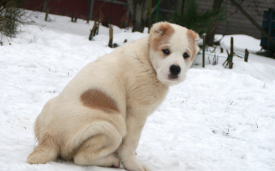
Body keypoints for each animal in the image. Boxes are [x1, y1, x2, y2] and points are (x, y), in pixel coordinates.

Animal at [27, 22, 199, 170]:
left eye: (186, 55)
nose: (175, 69)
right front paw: (134, 165)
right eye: (166, 51)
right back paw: (112, 161)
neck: (147, 60)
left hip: (48, 107)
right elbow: (131, 143)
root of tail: (49, 137)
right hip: (112, 124)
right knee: (81, 157)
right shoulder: (137, 113)